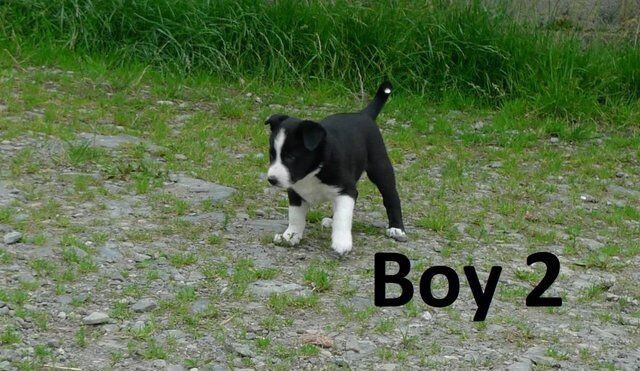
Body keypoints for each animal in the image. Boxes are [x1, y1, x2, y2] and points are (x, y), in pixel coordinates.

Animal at [264, 82, 404, 256]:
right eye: (272, 154)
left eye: (290, 157)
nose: (271, 180)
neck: (313, 172)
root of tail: (363, 114)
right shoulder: (295, 192)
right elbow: (295, 216)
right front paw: (290, 236)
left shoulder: (346, 190)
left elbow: (343, 217)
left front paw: (342, 243)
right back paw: (331, 219)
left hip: (380, 167)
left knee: (391, 197)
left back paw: (397, 228)